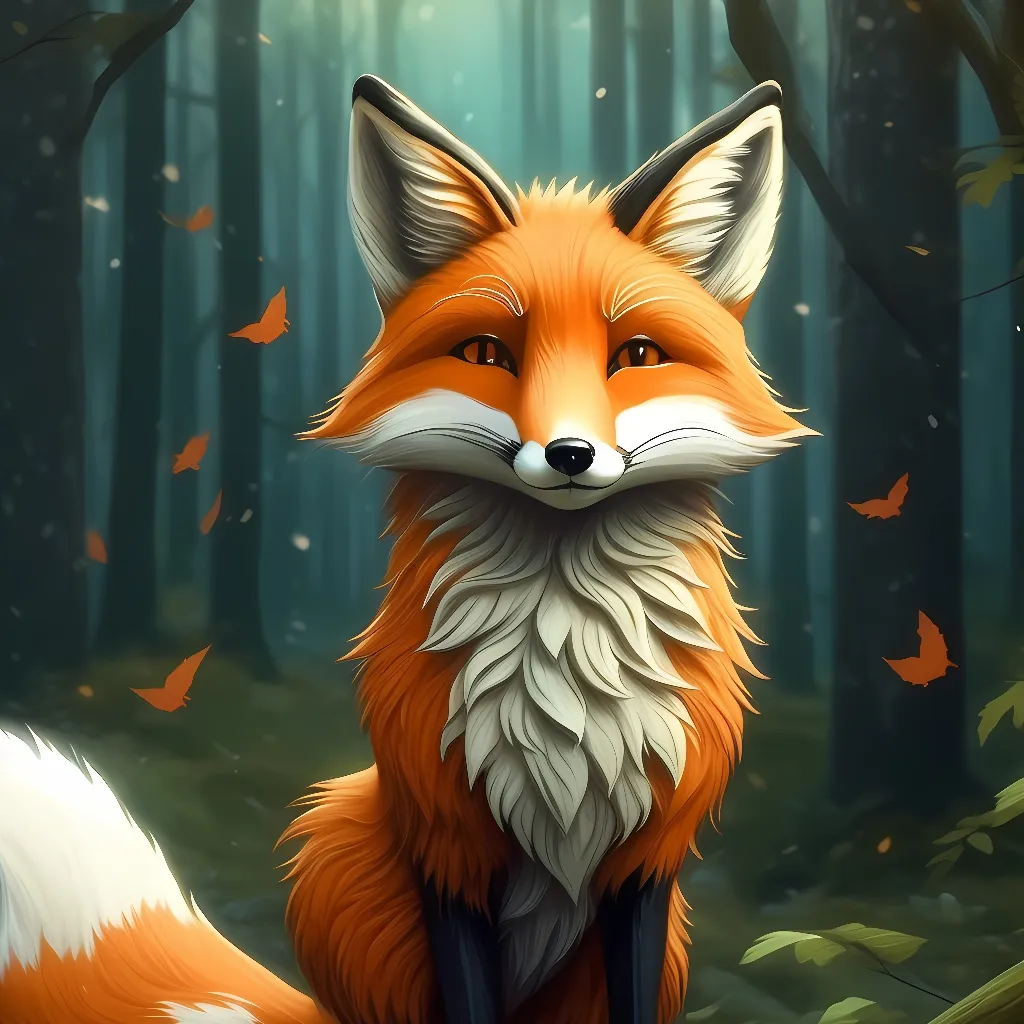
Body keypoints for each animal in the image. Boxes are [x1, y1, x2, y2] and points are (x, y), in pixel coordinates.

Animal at [0, 75, 812, 1024]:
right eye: (487, 353)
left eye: (636, 355)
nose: (570, 455)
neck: (564, 667)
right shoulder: (446, 846)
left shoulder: (647, 862)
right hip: (338, 837)